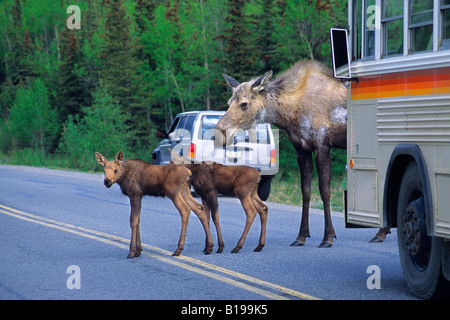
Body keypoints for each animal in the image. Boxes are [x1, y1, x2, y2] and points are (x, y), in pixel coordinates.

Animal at [216, 61, 346, 249]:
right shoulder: (301, 149)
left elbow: (325, 191)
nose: (219, 134)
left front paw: (328, 236)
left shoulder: (322, 146)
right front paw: (301, 236)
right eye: (229, 102)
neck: (288, 115)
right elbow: (305, 191)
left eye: (244, 104)